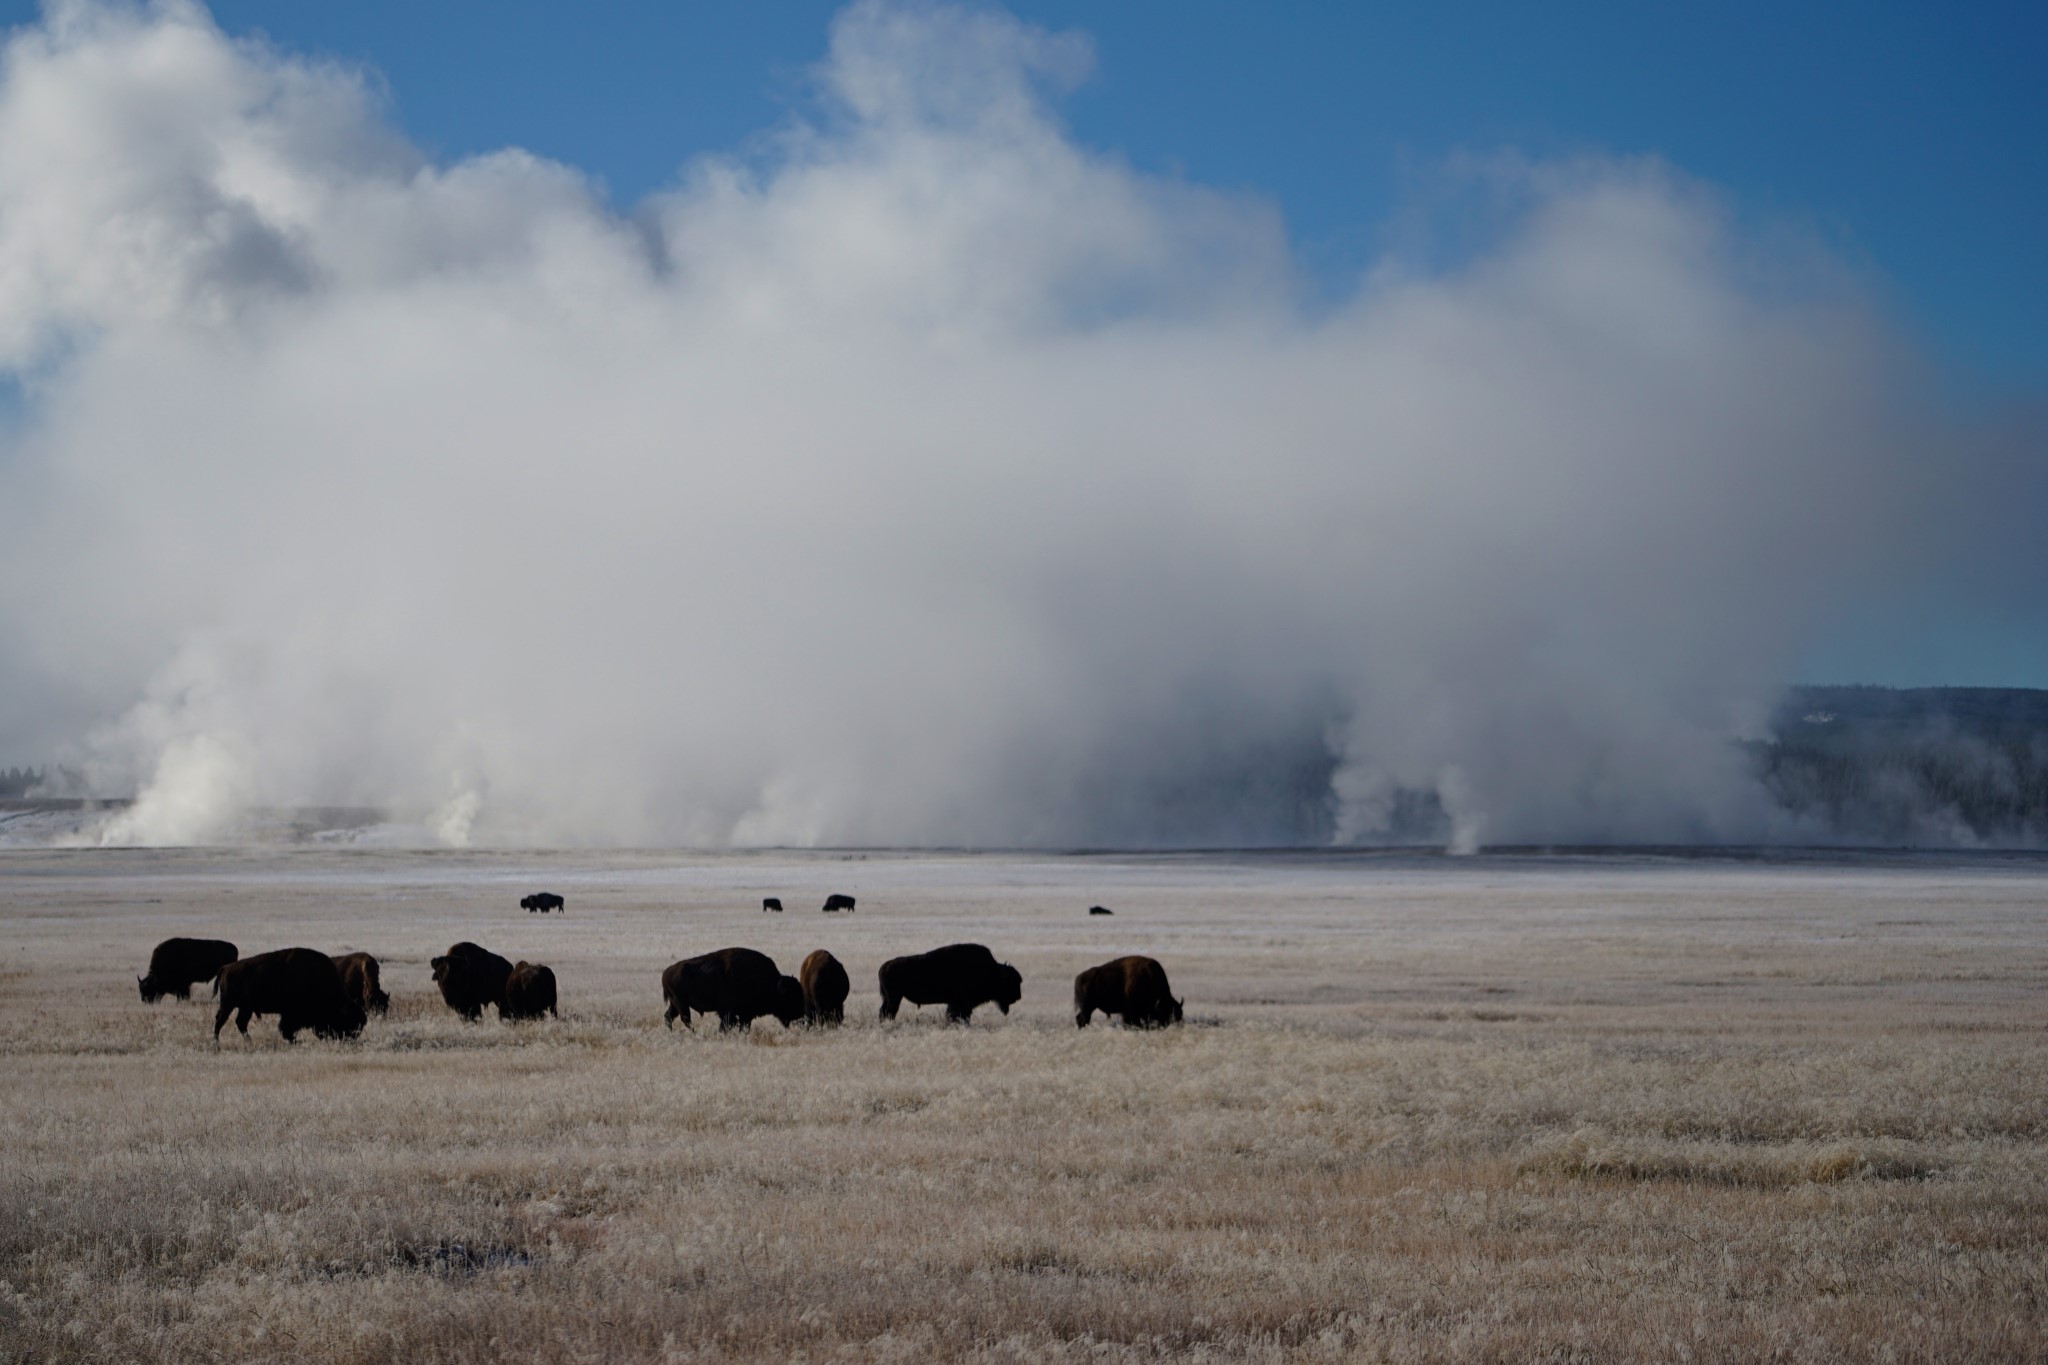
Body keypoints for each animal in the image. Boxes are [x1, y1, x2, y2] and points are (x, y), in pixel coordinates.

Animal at [214, 949, 366, 1047]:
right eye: (348, 1021)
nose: (351, 1040)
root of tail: (226, 968)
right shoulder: (291, 1015)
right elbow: (286, 1029)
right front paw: (296, 1041)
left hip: (245, 1007)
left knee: (240, 1022)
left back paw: (248, 1042)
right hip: (228, 1004)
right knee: (221, 1020)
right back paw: (217, 1042)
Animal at [663, 949, 806, 1035]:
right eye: (792, 996)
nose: (802, 1015)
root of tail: (667, 972)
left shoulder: (745, 1015)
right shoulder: (728, 1012)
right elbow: (726, 1025)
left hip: (675, 1004)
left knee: (669, 1016)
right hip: (681, 1003)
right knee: (685, 1019)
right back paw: (694, 1032)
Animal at [876, 949, 1019, 1023]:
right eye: (1011, 981)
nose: (1018, 996)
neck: (992, 971)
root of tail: (885, 965)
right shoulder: (961, 1004)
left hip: (889, 998)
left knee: (884, 1011)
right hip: (894, 998)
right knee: (889, 1012)